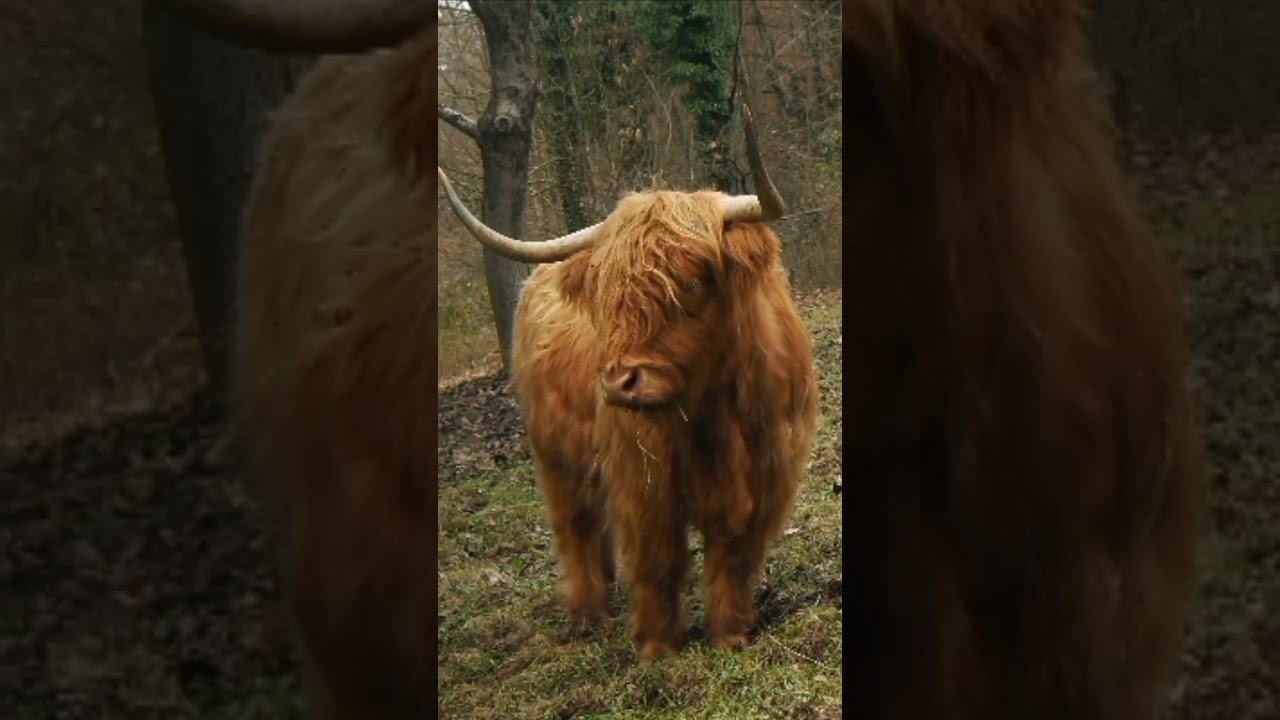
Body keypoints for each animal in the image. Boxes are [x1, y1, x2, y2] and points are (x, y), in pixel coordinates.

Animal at [438, 105, 820, 659]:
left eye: (691, 281)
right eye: (606, 295)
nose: (621, 383)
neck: (714, 414)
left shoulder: (767, 476)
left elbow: (733, 558)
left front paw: (730, 635)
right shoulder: (643, 483)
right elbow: (658, 561)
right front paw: (657, 648)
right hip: (555, 457)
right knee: (577, 529)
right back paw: (588, 613)